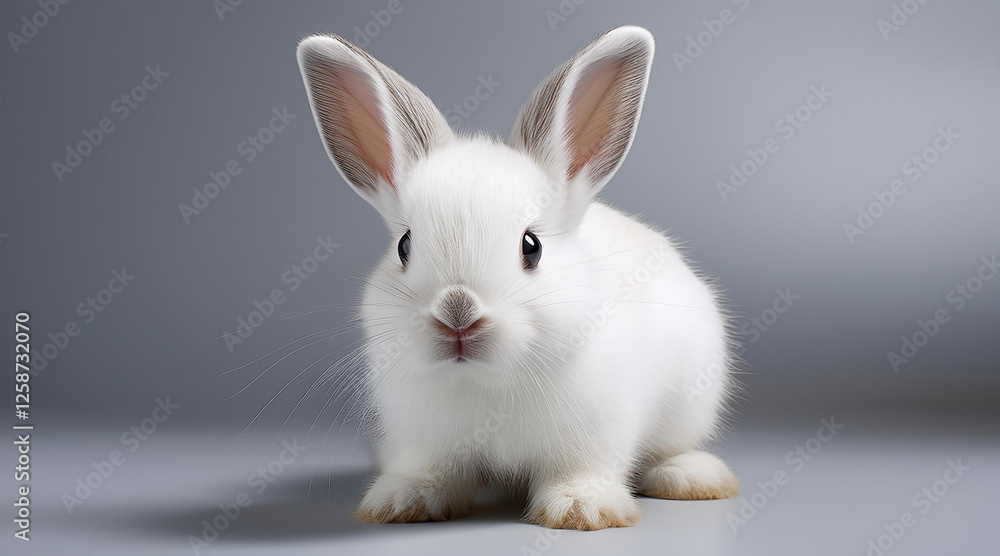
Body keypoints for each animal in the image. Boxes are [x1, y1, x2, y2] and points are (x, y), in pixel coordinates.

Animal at [296, 25, 739, 531]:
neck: (486, 380)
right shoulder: (423, 440)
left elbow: (582, 470)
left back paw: (691, 477)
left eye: (532, 246)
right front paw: (402, 502)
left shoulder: (594, 435)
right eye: (404, 246)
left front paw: (580, 510)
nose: (458, 313)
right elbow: (428, 471)